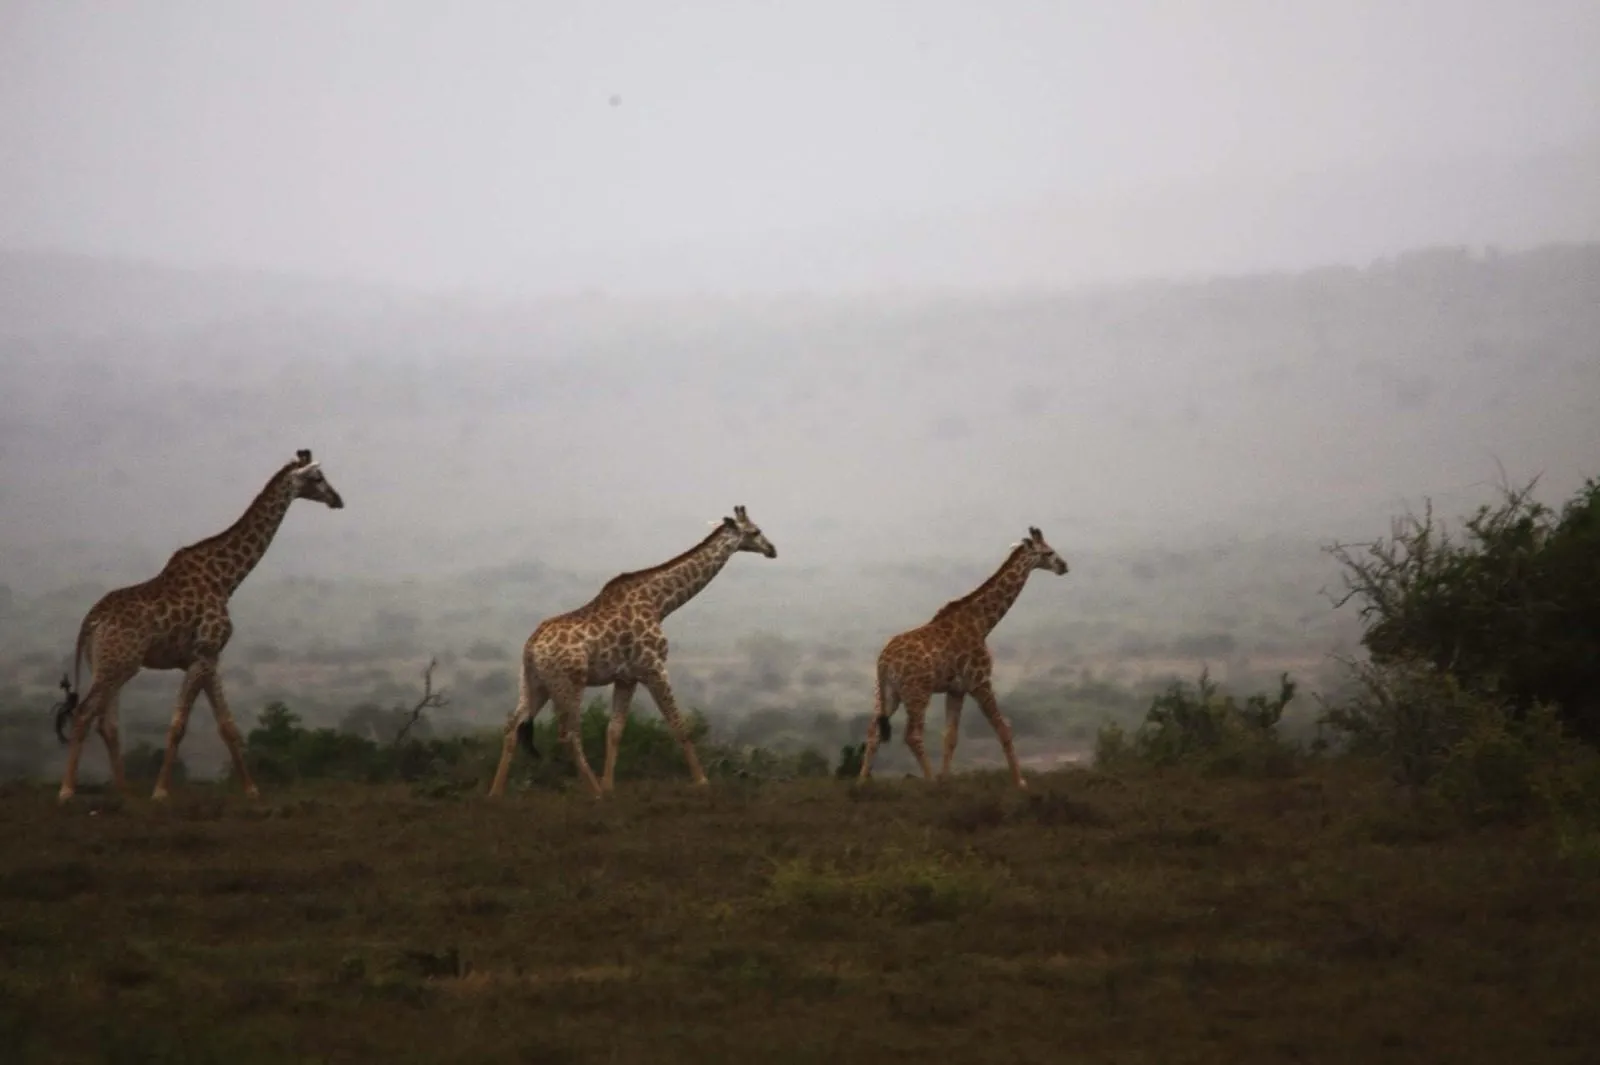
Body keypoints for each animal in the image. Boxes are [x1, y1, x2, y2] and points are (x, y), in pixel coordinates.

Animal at [54, 449, 345, 803]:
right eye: (317, 477)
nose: (337, 499)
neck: (226, 579)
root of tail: (90, 622)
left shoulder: (207, 659)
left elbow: (227, 725)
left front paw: (251, 789)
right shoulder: (204, 653)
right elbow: (179, 724)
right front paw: (161, 792)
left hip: (108, 664)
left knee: (106, 723)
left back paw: (123, 791)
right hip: (119, 663)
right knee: (85, 714)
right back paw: (67, 789)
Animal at [488, 505, 777, 798]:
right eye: (755, 531)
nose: (772, 549)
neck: (660, 603)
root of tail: (530, 647)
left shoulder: (626, 677)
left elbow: (614, 730)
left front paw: (610, 785)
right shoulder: (654, 667)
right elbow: (678, 724)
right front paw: (702, 781)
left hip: (535, 683)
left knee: (512, 727)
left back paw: (496, 793)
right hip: (568, 682)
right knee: (568, 734)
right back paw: (594, 792)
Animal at [857, 526, 1069, 791]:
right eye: (1048, 552)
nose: (1064, 566)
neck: (982, 624)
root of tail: (883, 662)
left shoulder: (956, 689)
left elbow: (950, 736)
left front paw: (946, 780)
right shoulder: (980, 682)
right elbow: (1004, 728)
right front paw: (1020, 782)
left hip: (887, 692)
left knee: (873, 732)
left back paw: (861, 783)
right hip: (917, 691)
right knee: (912, 735)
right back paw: (928, 781)